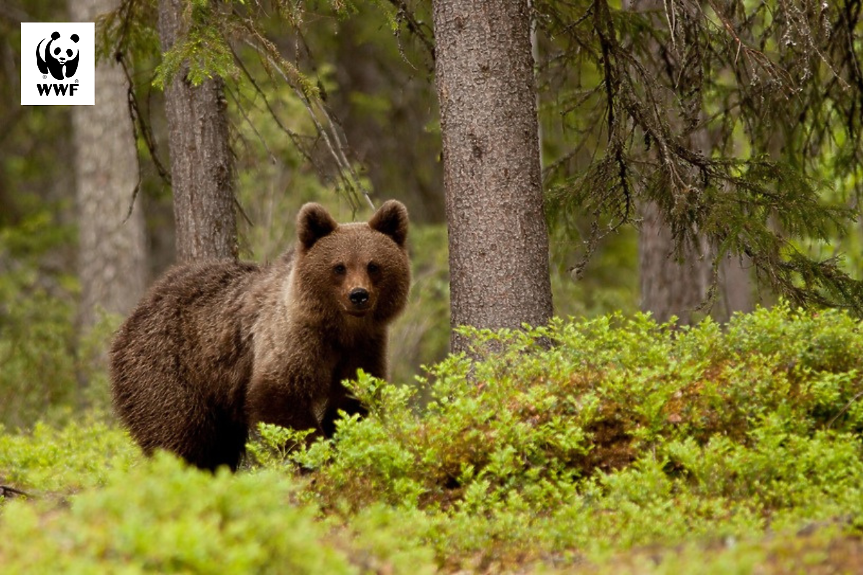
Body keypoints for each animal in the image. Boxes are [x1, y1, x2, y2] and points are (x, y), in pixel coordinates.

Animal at [109, 202, 412, 472]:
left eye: (373, 265)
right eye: (339, 267)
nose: (358, 295)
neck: (340, 330)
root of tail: (135, 314)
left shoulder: (364, 347)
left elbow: (353, 401)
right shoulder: (292, 340)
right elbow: (280, 398)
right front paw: (315, 454)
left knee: (220, 444)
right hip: (169, 368)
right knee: (179, 435)